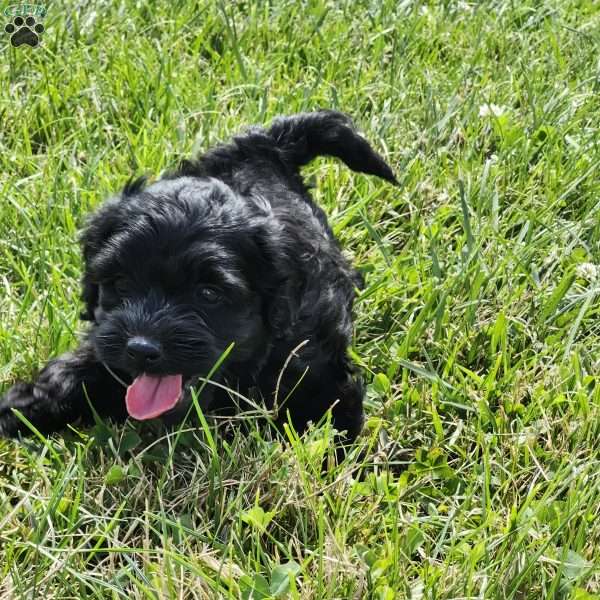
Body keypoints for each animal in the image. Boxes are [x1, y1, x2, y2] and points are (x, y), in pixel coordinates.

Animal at [0, 111, 396, 440]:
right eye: (121, 284)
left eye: (208, 294)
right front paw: (22, 407)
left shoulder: (319, 367)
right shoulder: (105, 337)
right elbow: (78, 366)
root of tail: (264, 144)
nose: (140, 349)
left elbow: (331, 419)